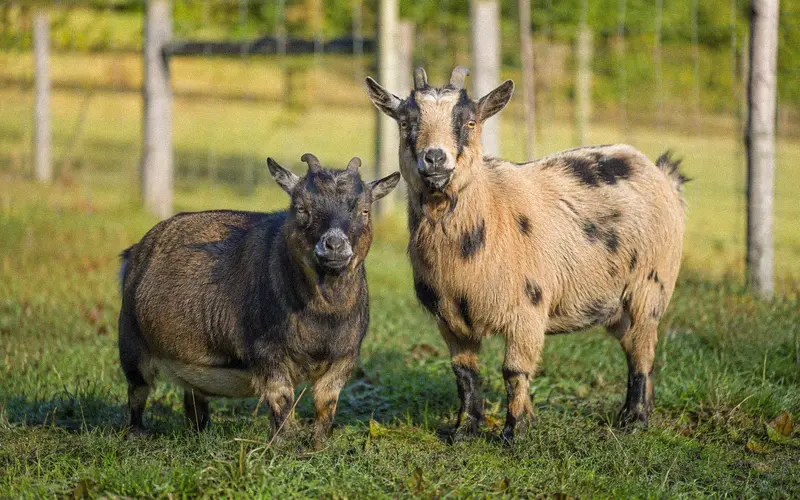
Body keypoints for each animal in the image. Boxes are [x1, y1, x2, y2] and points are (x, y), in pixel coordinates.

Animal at [118, 154, 400, 446]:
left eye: (364, 210)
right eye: (301, 208)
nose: (334, 245)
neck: (323, 319)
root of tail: (136, 251)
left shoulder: (343, 358)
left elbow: (325, 406)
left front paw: (319, 446)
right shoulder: (268, 354)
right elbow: (282, 402)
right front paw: (283, 445)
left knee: (194, 400)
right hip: (131, 343)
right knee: (137, 390)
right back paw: (137, 433)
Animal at [366, 66, 687, 442]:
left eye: (470, 122)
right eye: (405, 122)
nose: (434, 158)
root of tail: (660, 173)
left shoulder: (527, 310)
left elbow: (514, 370)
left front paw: (515, 431)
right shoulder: (450, 318)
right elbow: (464, 373)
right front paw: (465, 429)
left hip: (649, 285)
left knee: (643, 350)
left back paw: (633, 419)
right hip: (614, 303)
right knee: (633, 344)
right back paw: (643, 409)